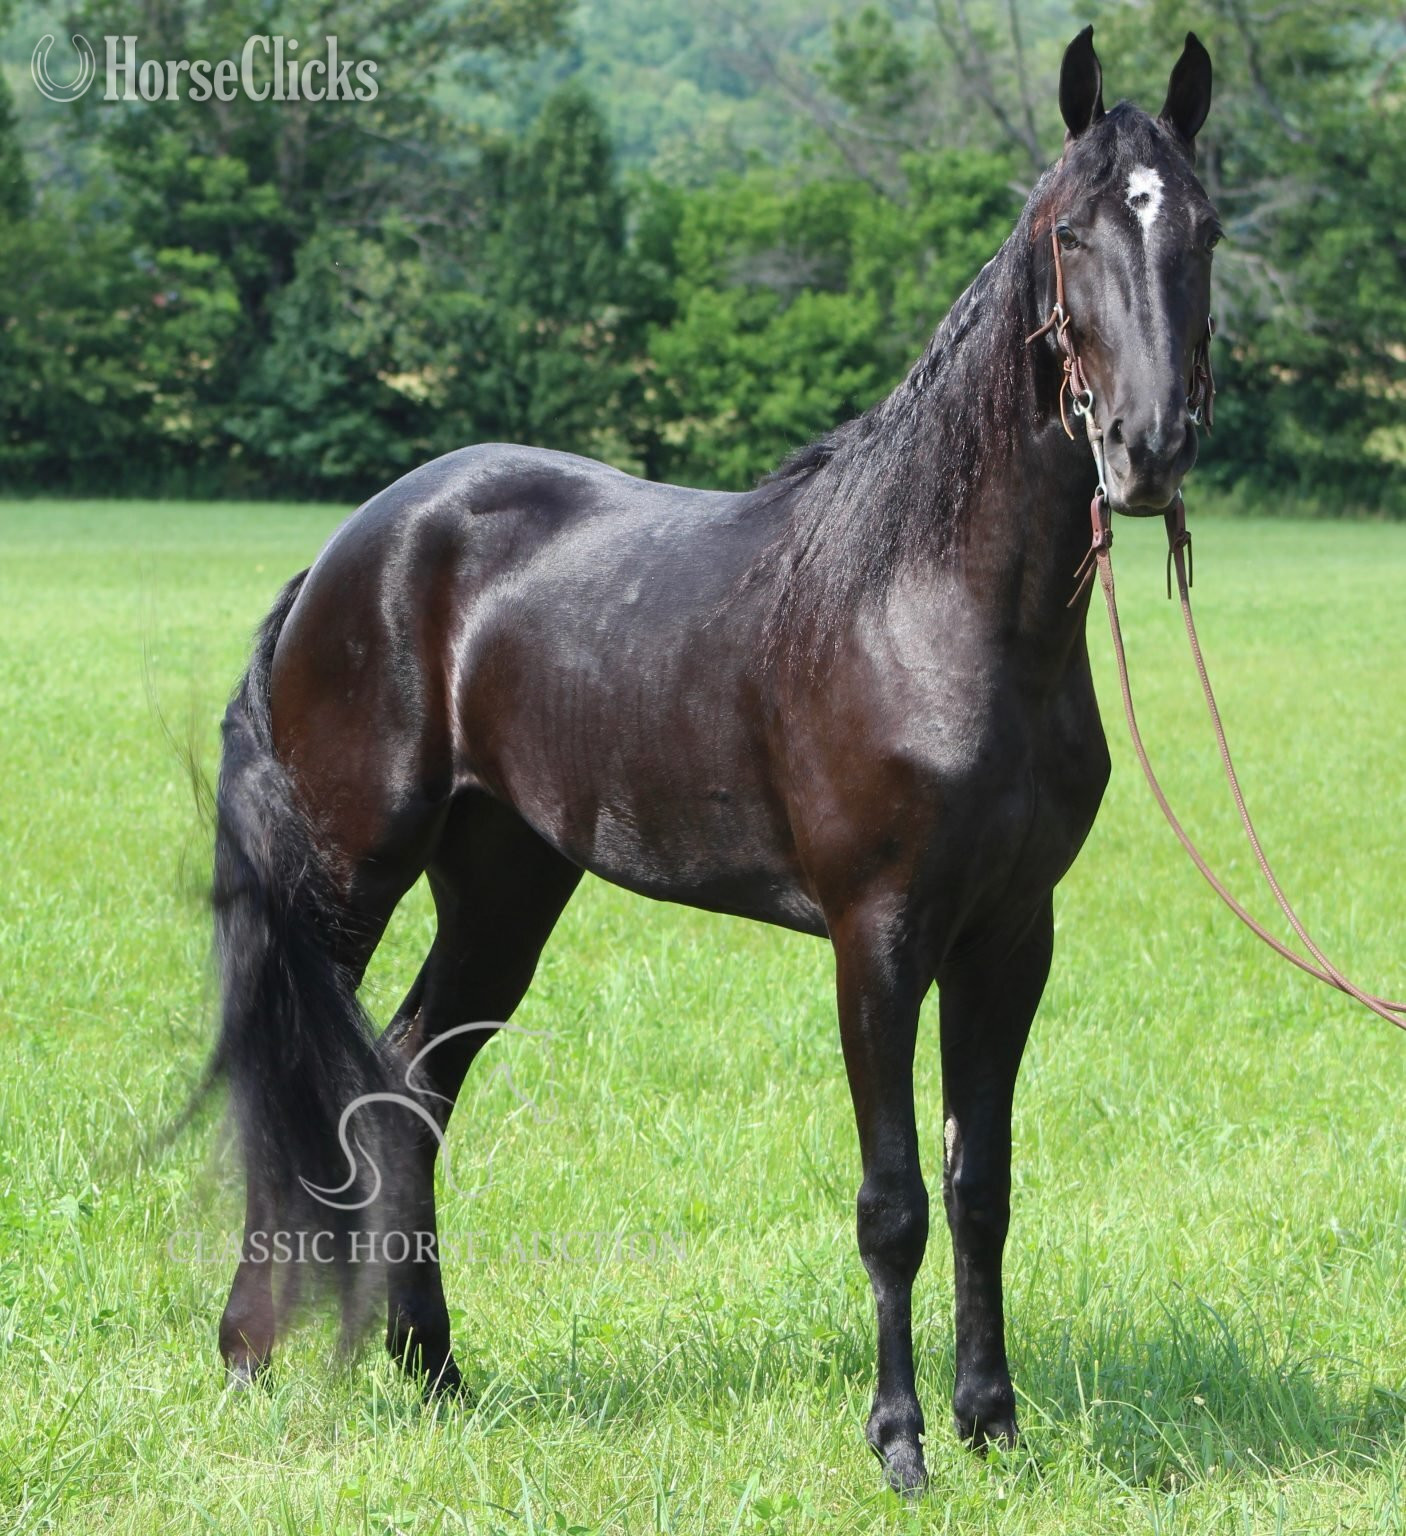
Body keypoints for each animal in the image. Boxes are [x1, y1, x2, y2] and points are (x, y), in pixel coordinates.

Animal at [211, 26, 1217, 1492]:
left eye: (1201, 228)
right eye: (1071, 233)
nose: (1146, 451)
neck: (933, 603)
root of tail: (353, 547)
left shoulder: (1008, 934)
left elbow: (980, 1185)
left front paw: (993, 1424)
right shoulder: (878, 937)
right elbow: (893, 1200)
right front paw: (900, 1443)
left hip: (503, 887)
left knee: (402, 1089)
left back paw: (436, 1372)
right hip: (347, 872)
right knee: (291, 1076)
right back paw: (248, 1351)